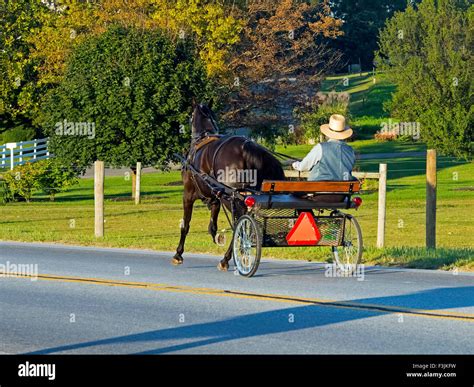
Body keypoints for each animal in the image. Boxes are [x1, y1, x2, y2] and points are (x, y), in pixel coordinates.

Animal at [174, 104, 286, 272]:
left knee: (238, 225)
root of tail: (247, 148)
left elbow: (185, 225)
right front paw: (216, 237)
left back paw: (227, 259)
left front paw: (178, 254)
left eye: (190, 116)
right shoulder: (215, 197)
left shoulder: (188, 195)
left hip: (232, 197)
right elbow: (212, 226)